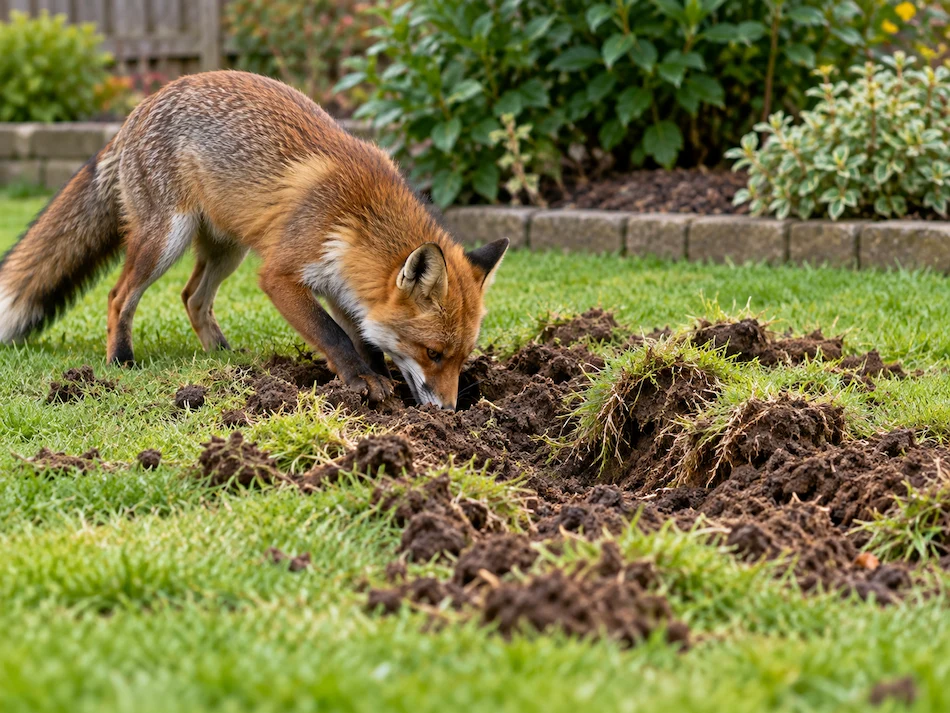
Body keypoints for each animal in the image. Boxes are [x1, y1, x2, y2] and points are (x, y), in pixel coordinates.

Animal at [0, 71, 509, 410]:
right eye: (434, 353)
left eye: (463, 357)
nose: (449, 411)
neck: (355, 216)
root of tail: (137, 110)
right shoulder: (281, 275)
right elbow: (332, 335)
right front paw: (360, 384)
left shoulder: (344, 285)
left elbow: (364, 339)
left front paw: (376, 378)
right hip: (166, 240)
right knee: (118, 295)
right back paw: (121, 359)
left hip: (227, 250)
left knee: (192, 297)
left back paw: (223, 356)